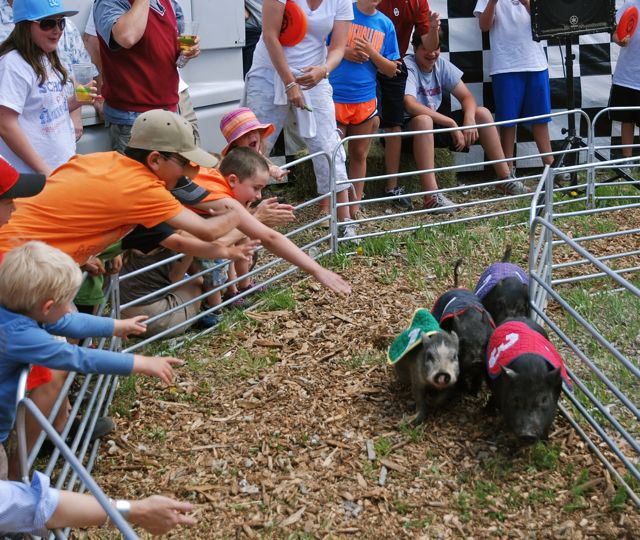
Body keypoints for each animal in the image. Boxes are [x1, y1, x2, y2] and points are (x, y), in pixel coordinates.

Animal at [432, 260, 498, 394]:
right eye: (461, 343)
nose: (477, 360)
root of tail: (456, 287)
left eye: (486, 342)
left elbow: (478, 377)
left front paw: (474, 392)